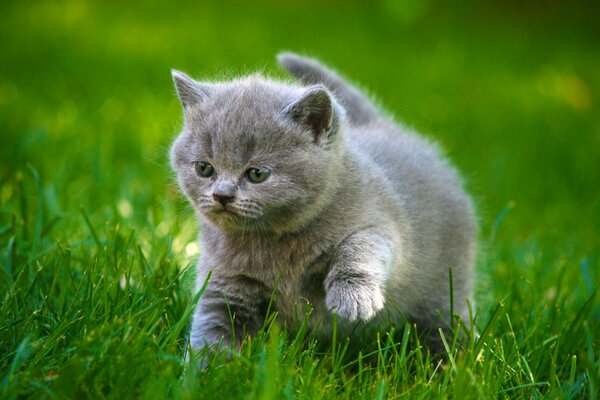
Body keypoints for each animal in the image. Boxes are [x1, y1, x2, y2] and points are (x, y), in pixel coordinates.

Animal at [170, 53, 478, 354]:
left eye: (257, 174)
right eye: (204, 169)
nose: (222, 195)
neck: (271, 243)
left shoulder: (381, 223)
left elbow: (360, 247)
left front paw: (353, 297)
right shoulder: (225, 282)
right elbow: (213, 331)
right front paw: (204, 368)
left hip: (447, 280)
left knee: (445, 320)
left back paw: (448, 358)